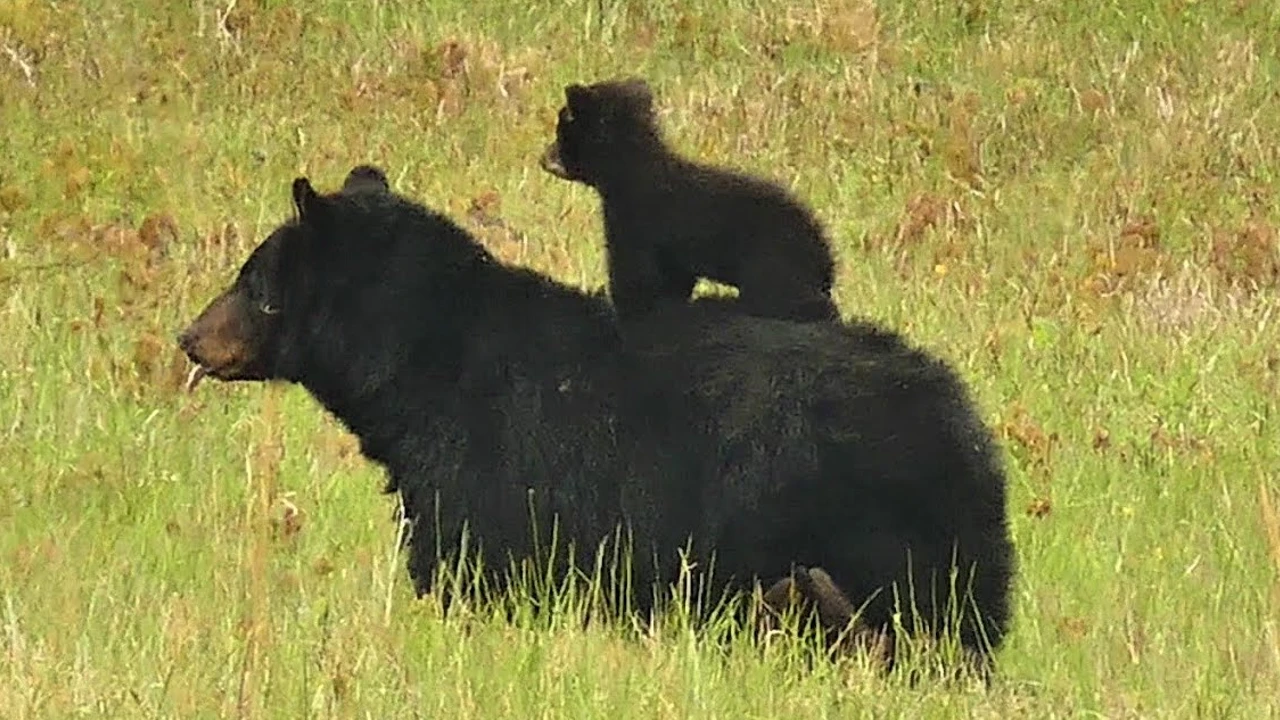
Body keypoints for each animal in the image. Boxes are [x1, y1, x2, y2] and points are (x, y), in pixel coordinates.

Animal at [175, 167, 1013, 671]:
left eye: (253, 283)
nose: (189, 335)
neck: (422, 363)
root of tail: (960, 419)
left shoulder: (489, 468)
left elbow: (469, 570)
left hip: (870, 525)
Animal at [537, 77, 839, 320]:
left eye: (561, 131)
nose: (542, 158)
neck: (632, 172)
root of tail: (826, 258)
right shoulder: (671, 255)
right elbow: (673, 283)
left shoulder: (635, 224)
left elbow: (635, 280)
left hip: (772, 262)